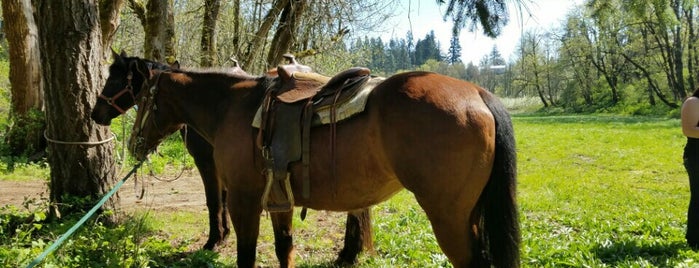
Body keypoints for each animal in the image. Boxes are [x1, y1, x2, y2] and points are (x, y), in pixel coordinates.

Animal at [93, 50, 378, 264]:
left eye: (115, 80)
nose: (96, 113)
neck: (223, 107)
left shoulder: (208, 165)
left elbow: (214, 201)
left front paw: (214, 240)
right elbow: (222, 200)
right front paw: (223, 235)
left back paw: (349, 253)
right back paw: (349, 252)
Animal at [127, 66, 520, 266]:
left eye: (141, 98)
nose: (134, 143)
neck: (233, 106)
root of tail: (477, 93)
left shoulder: (243, 200)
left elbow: (246, 256)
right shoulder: (278, 200)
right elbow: (284, 249)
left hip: (448, 218)